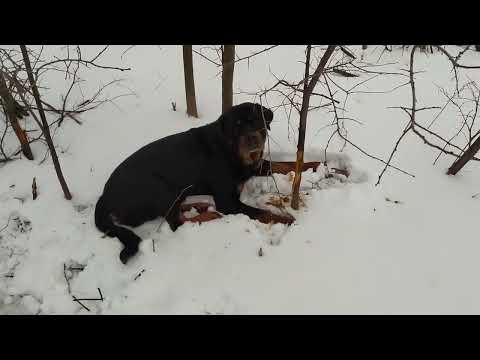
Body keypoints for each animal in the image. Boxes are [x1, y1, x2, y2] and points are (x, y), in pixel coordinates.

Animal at [95, 102, 294, 262]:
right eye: (236, 126)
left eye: (256, 121)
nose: (251, 137)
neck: (231, 152)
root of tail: (104, 196)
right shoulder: (228, 202)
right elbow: (262, 212)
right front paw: (287, 219)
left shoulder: (255, 166)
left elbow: (284, 164)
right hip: (159, 186)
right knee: (176, 222)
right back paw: (209, 215)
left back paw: (201, 206)